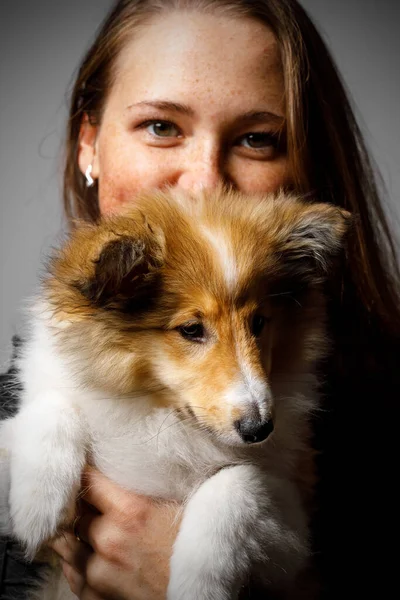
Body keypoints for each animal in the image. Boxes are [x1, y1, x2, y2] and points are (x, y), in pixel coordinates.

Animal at [0, 189, 348, 600]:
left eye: (258, 322)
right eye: (191, 329)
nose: (259, 429)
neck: (162, 414)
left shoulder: (293, 538)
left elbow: (240, 478)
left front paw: (200, 583)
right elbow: (52, 406)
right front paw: (37, 503)